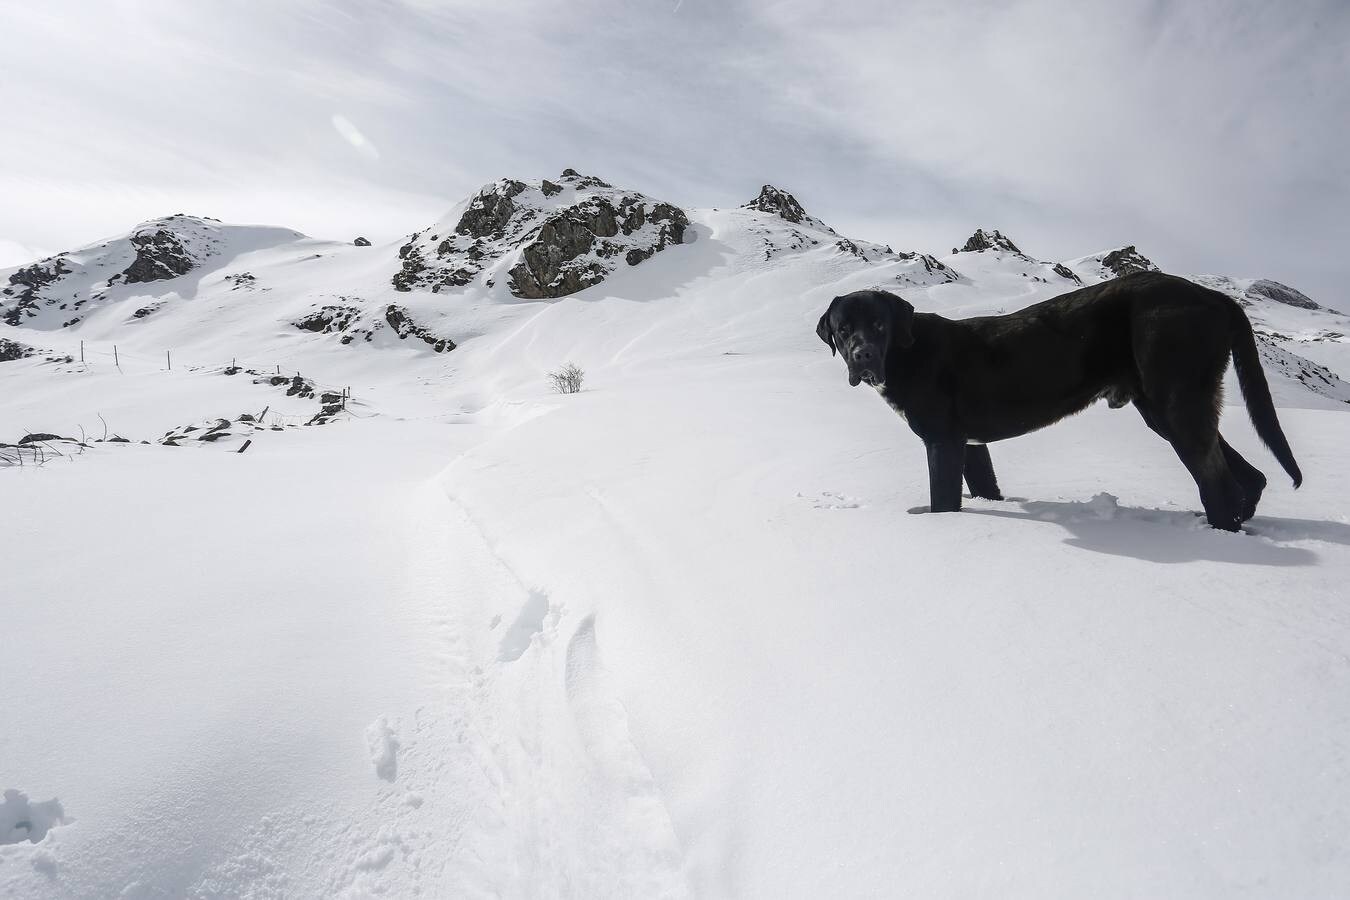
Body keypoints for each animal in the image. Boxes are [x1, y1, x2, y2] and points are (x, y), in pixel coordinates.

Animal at [815, 271, 1301, 531]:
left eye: (879, 325)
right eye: (843, 329)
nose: (862, 356)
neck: (906, 352)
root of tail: (1213, 295)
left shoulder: (942, 441)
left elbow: (943, 500)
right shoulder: (970, 445)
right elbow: (984, 487)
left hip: (1175, 402)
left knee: (1219, 480)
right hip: (1170, 408)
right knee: (1249, 475)